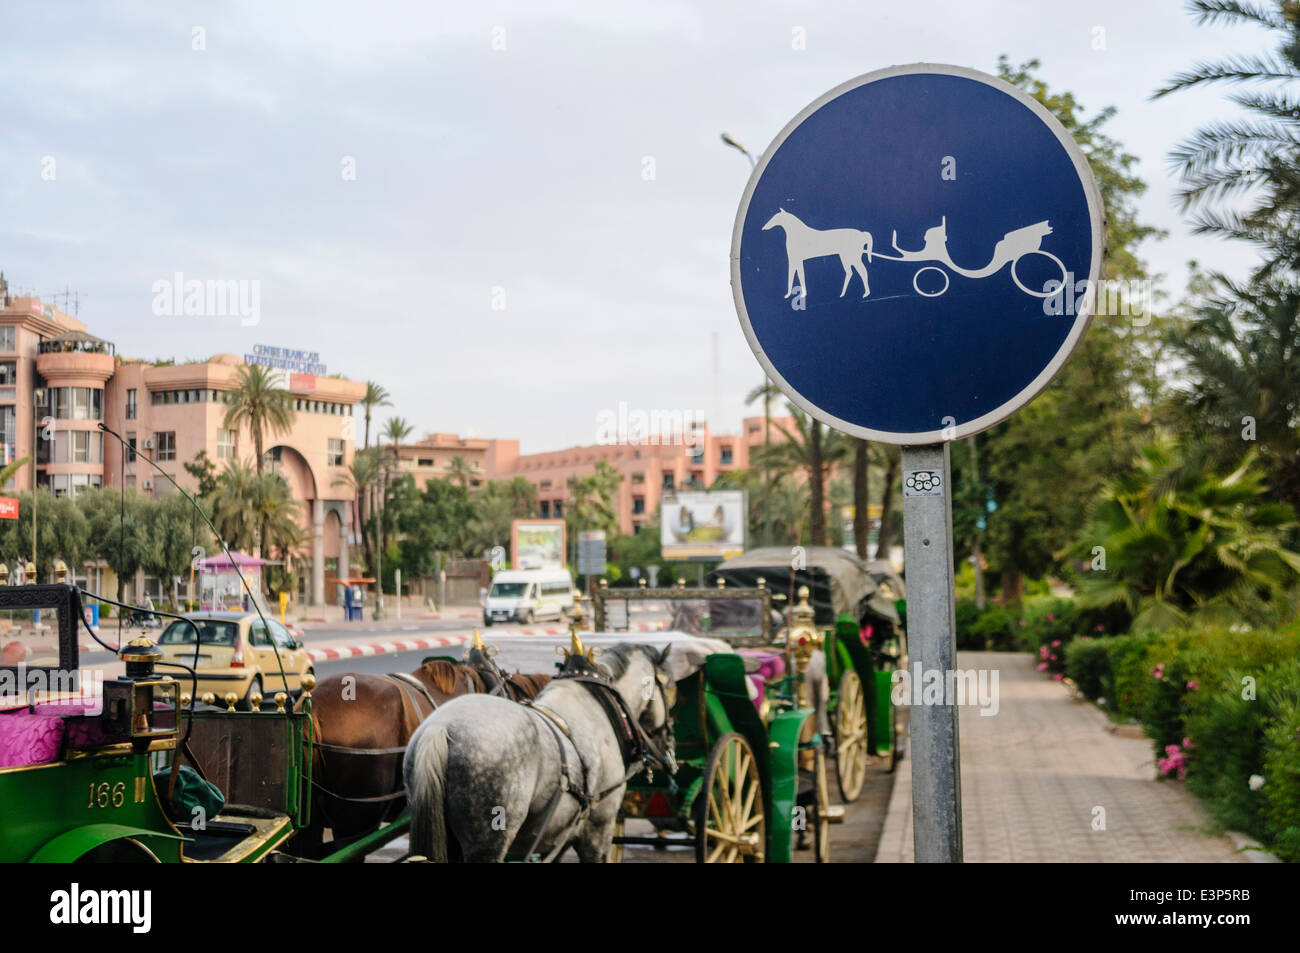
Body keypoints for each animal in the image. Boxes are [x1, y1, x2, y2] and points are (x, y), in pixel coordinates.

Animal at [405, 642, 691, 858]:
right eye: (672, 690)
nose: (670, 745)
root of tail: (440, 727)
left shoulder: (557, 835)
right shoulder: (598, 827)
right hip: (490, 837)